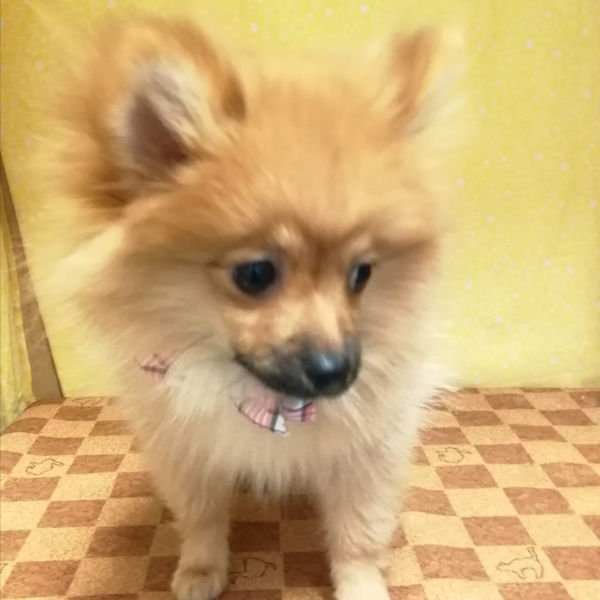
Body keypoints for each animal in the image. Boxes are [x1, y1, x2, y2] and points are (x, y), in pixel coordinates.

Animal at [45, 16, 462, 600]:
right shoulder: (184, 451)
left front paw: (361, 585)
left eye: (362, 274)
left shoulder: (369, 453)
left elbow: (359, 532)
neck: (261, 399)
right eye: (255, 275)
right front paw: (200, 570)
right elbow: (200, 518)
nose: (337, 371)